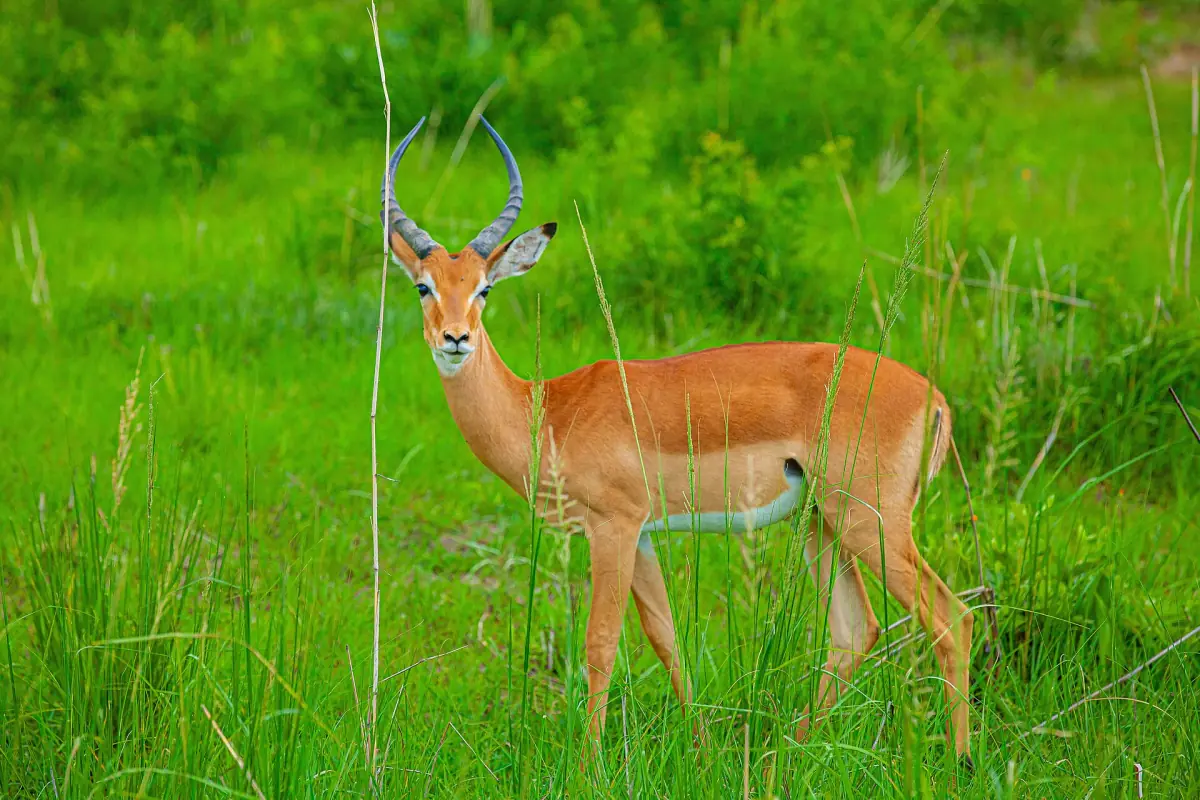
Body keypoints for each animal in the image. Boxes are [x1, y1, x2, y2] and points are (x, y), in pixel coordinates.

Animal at [381, 117, 974, 764]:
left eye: (484, 287)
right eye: (423, 287)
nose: (455, 338)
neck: (549, 410)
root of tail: (932, 396)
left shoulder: (613, 526)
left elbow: (599, 644)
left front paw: (587, 765)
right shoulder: (641, 534)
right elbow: (665, 636)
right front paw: (701, 747)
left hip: (872, 520)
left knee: (952, 616)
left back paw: (958, 761)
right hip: (821, 520)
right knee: (854, 629)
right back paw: (782, 754)